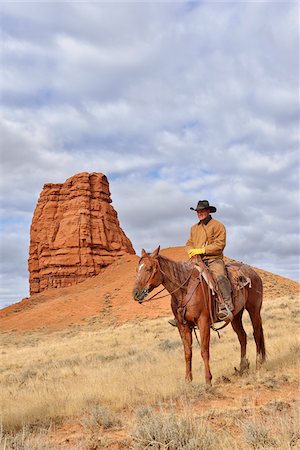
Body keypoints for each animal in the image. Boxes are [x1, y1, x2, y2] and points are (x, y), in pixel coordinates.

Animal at [132, 248, 266, 384]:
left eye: (149, 269)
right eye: (137, 269)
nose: (136, 293)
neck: (184, 290)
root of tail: (253, 273)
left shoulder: (203, 322)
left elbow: (204, 351)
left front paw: (208, 380)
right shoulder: (183, 326)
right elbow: (187, 352)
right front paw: (188, 380)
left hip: (254, 310)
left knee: (257, 334)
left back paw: (259, 363)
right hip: (236, 316)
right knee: (242, 337)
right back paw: (242, 367)